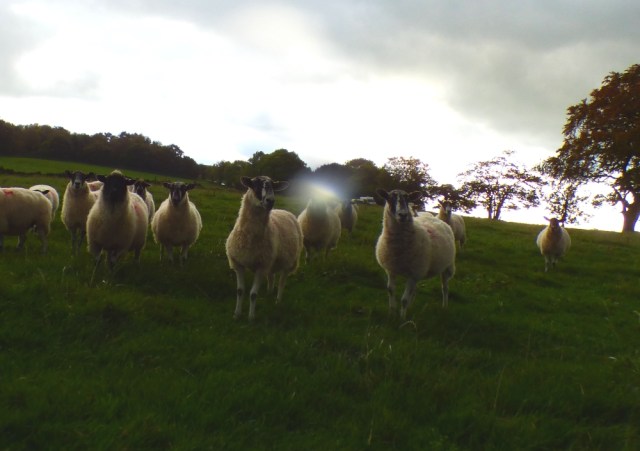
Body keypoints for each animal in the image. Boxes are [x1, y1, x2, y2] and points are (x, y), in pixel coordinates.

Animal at [225, 175, 303, 321]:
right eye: (255, 184)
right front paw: (236, 314)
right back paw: (269, 293)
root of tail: (284, 211)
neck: (250, 238)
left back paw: (278, 301)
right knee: (271, 277)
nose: (271, 201)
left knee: (282, 282)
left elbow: (253, 294)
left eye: (273, 186)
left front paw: (251, 318)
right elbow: (240, 291)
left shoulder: (261, 267)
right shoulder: (238, 264)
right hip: (271, 261)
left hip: (288, 262)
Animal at [375, 189, 456, 320]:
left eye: (408, 198)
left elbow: (404, 300)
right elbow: (390, 290)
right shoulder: (392, 270)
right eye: (389, 198)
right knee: (415, 290)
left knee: (445, 288)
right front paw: (392, 313)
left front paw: (402, 319)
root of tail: (438, 220)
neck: (399, 249)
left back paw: (444, 307)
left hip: (447, 267)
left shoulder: (413, 274)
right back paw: (411, 306)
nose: (403, 215)